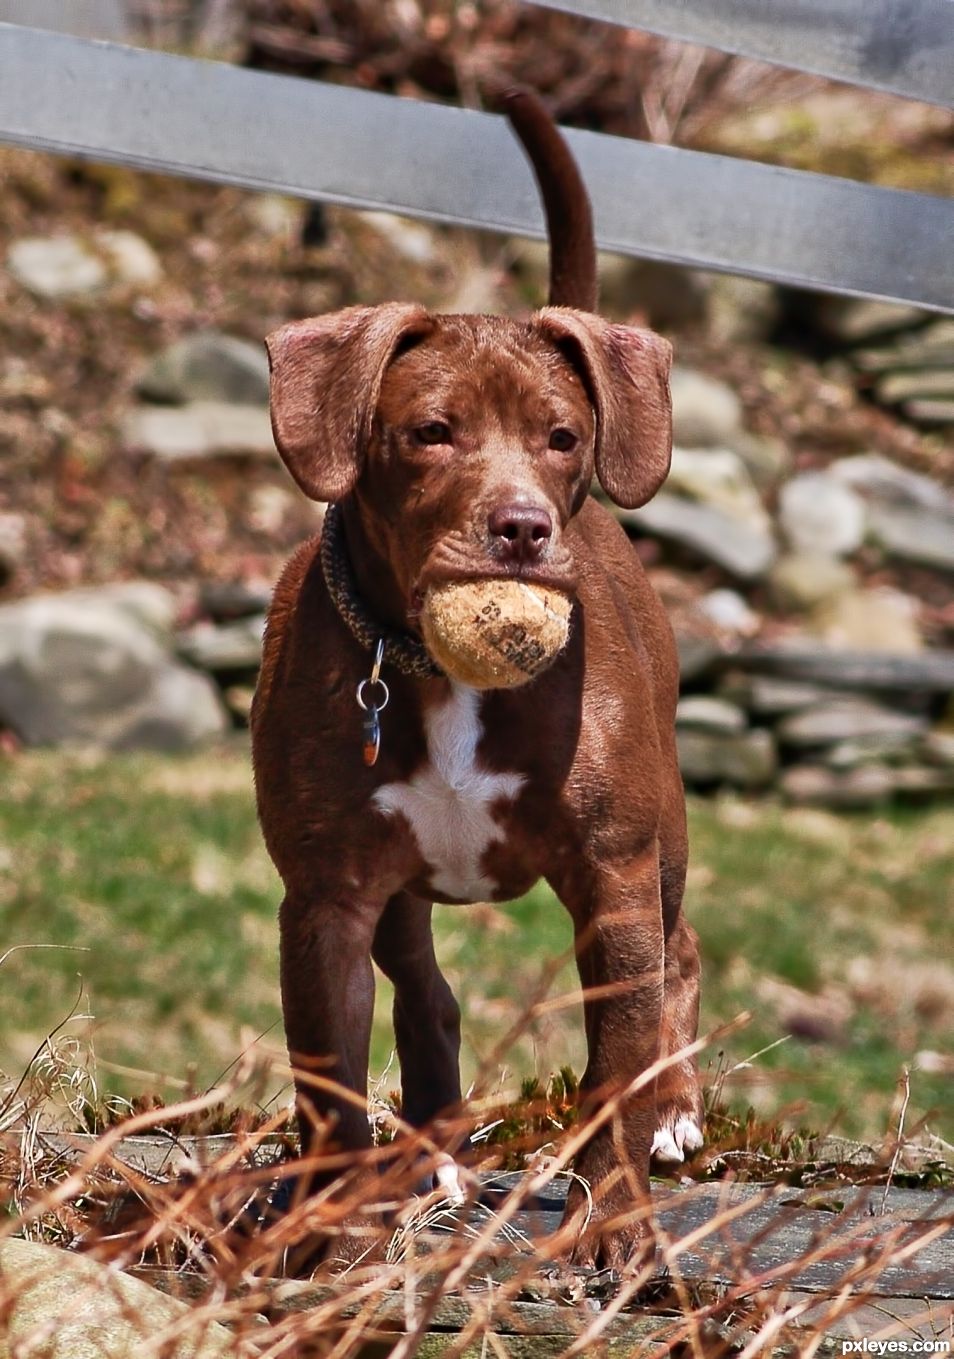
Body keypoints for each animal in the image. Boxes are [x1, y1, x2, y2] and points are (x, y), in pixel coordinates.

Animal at [252, 90, 701, 1266]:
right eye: (429, 434)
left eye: (563, 437)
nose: (524, 528)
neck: (424, 663)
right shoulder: (326, 899)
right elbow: (330, 1079)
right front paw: (325, 1233)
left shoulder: (614, 881)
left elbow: (614, 1070)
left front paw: (617, 1220)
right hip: (399, 891)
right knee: (425, 991)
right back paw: (433, 1152)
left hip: (666, 843)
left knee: (679, 955)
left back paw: (678, 1108)